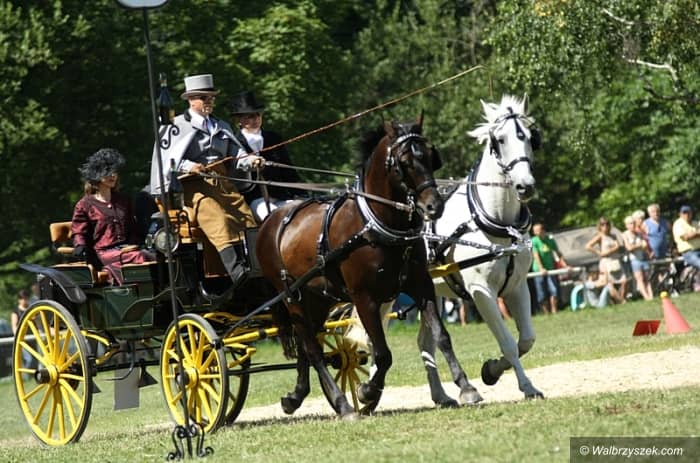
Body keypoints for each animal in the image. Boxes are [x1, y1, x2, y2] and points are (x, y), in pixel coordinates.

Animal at [256, 117, 478, 418]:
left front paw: (466, 386)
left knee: (305, 346)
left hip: (317, 299)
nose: (434, 206)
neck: (374, 224)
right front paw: (367, 391)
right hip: (292, 297)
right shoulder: (364, 298)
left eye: (431, 156)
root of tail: (271, 220)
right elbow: (383, 354)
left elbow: (441, 336)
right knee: (313, 351)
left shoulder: (421, 286)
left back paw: (296, 396)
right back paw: (343, 404)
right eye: (404, 161)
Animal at [425, 94, 544, 400]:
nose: (525, 186)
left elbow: (526, 340)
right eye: (500, 140)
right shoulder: (481, 291)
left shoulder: (517, 286)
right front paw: (526, 386)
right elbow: (508, 342)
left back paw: (441, 396)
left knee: (425, 343)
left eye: (530, 137)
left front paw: (491, 370)